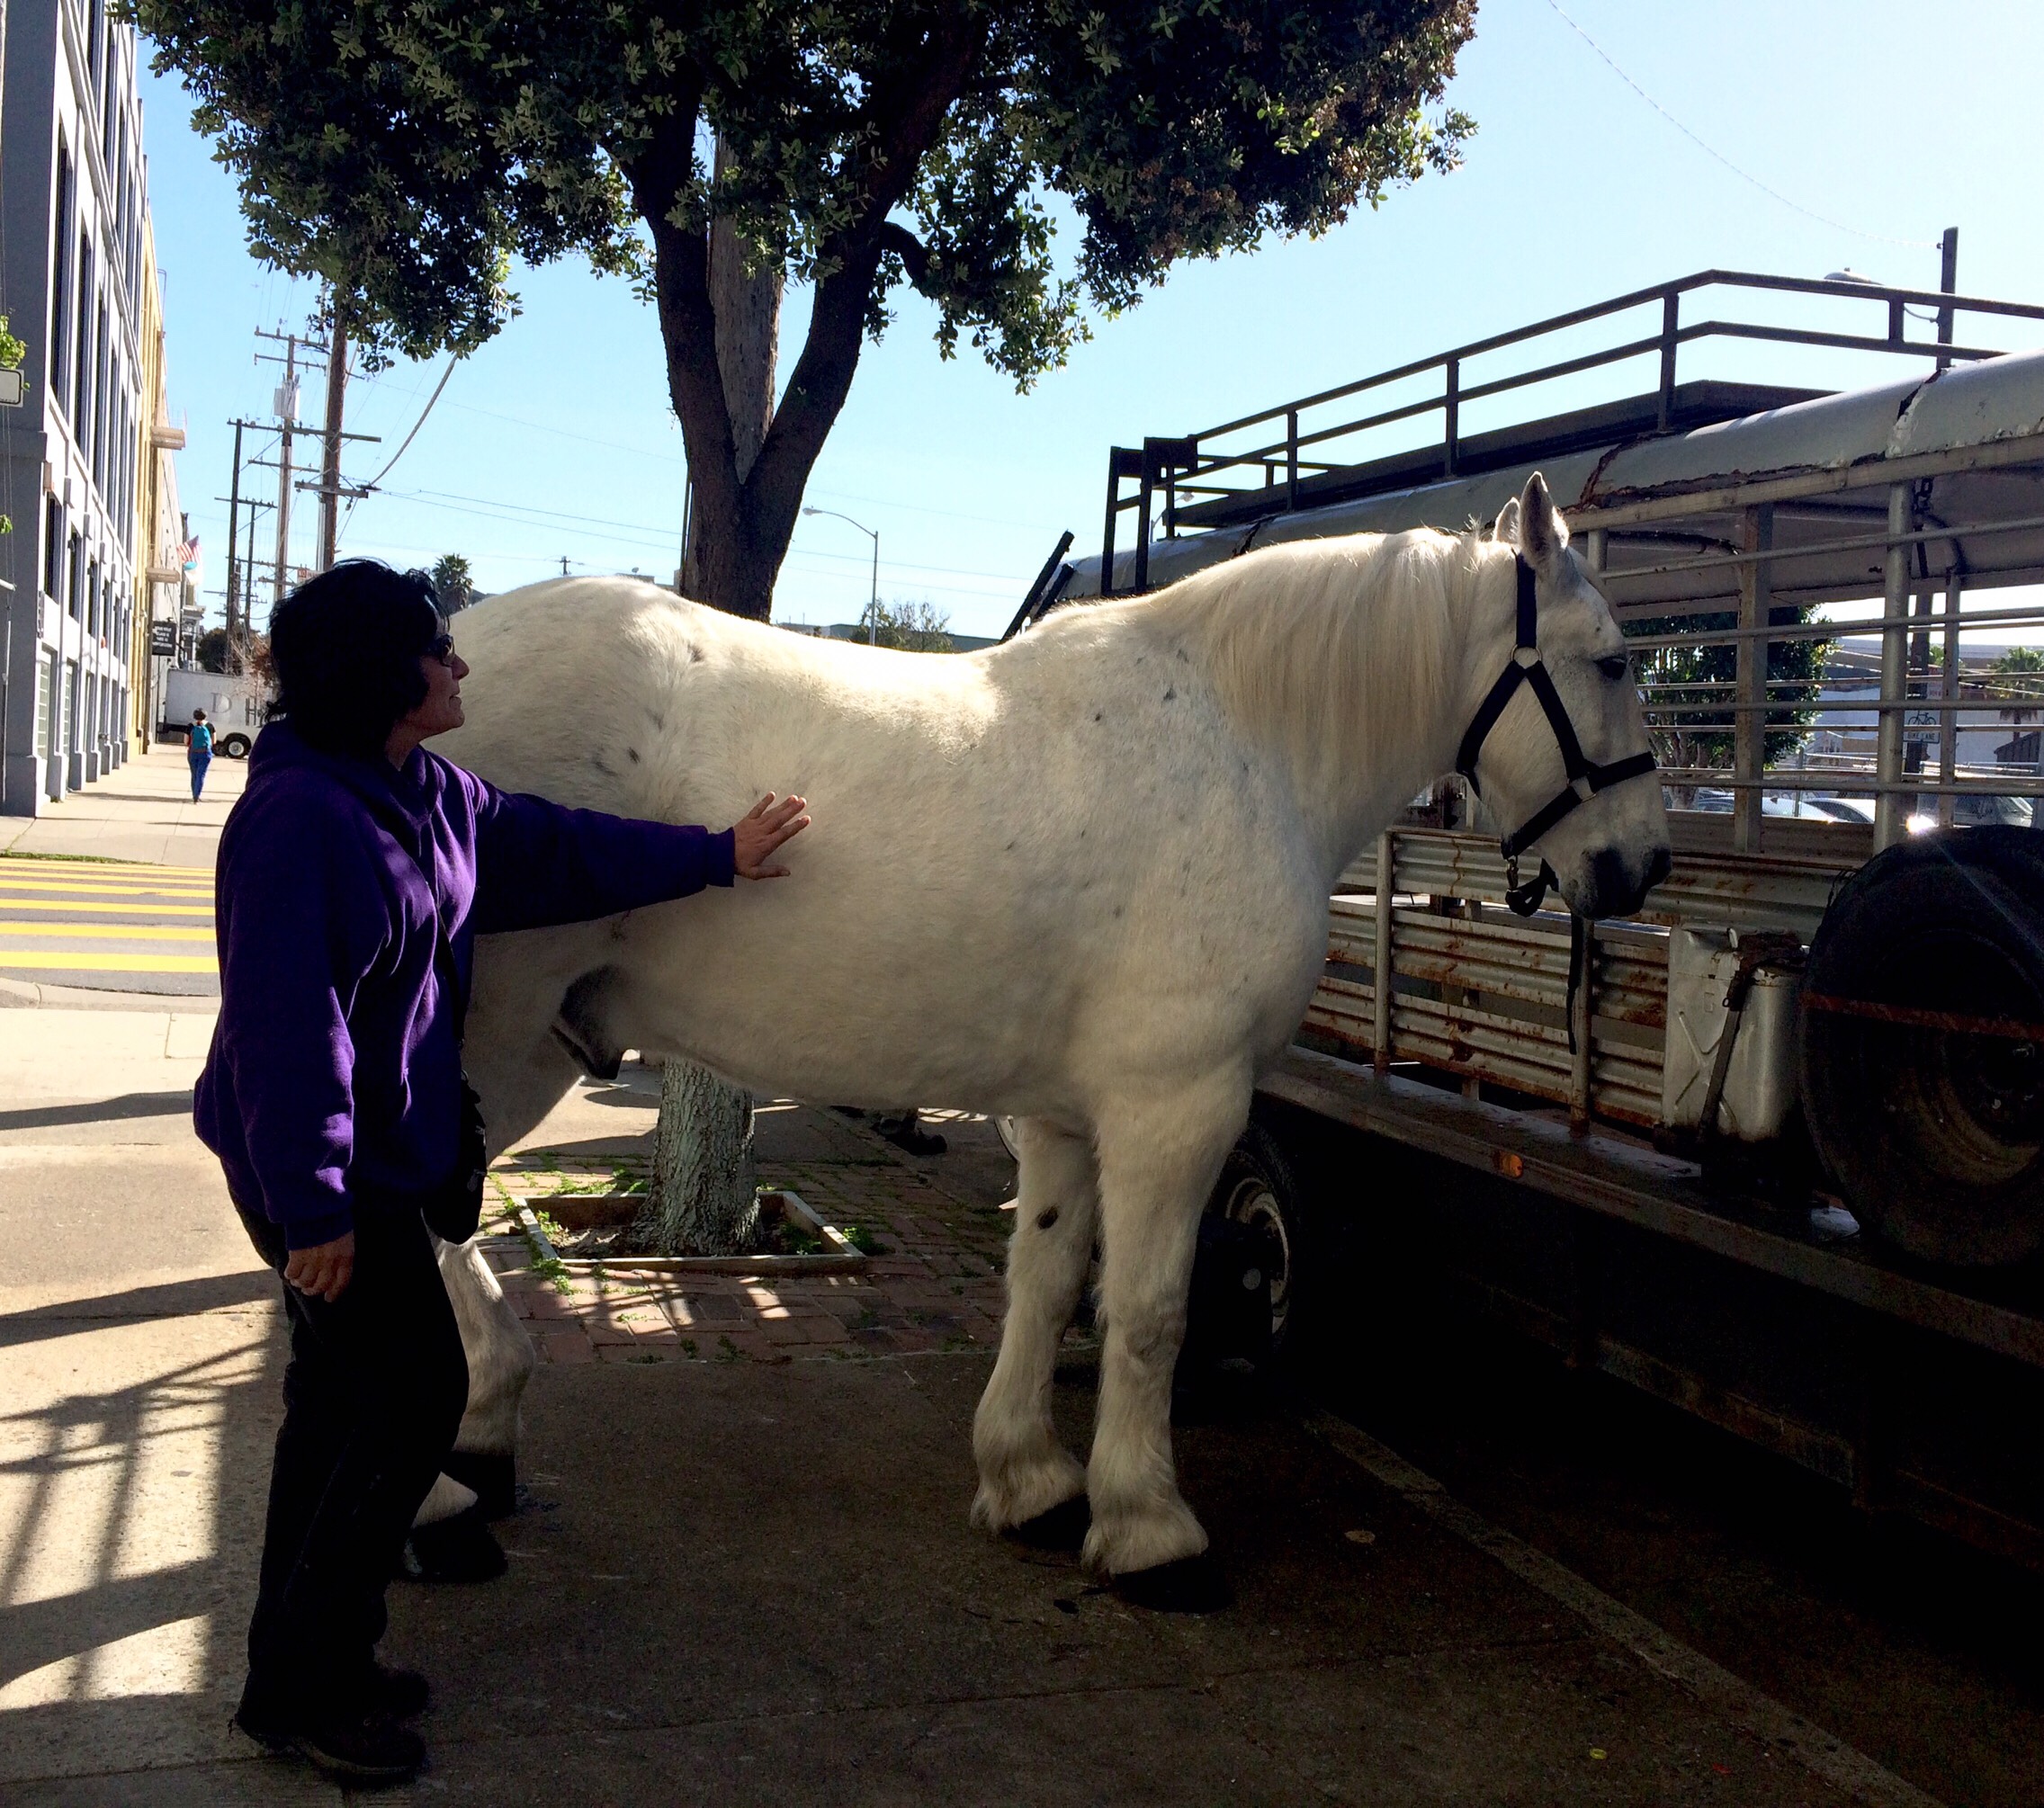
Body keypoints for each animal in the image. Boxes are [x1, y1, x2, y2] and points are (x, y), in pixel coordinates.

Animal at [435, 471, 1671, 1582]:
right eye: (1613, 661)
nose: (1642, 866)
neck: (1245, 746)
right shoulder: (1178, 1104)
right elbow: (1149, 1310)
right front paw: (1147, 1527)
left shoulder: (1069, 1115)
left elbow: (1045, 1280)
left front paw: (1029, 1480)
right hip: (492, 1039)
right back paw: (465, 1463)